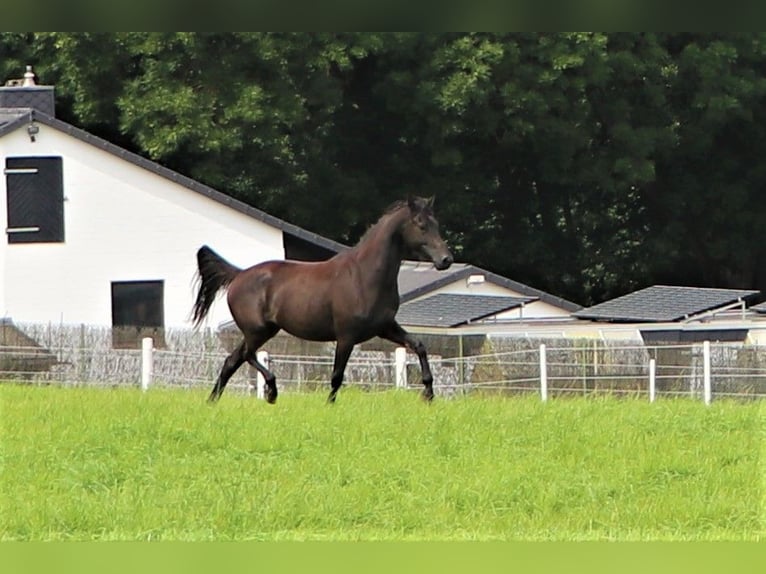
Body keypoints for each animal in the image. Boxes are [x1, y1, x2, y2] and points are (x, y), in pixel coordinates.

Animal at [194, 197, 456, 404]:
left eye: (436, 224)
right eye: (421, 225)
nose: (446, 260)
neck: (364, 275)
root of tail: (238, 274)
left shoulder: (385, 327)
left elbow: (419, 345)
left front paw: (429, 393)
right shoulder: (346, 336)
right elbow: (337, 376)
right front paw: (329, 406)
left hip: (260, 331)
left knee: (231, 361)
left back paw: (212, 402)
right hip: (258, 331)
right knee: (248, 355)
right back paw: (271, 391)